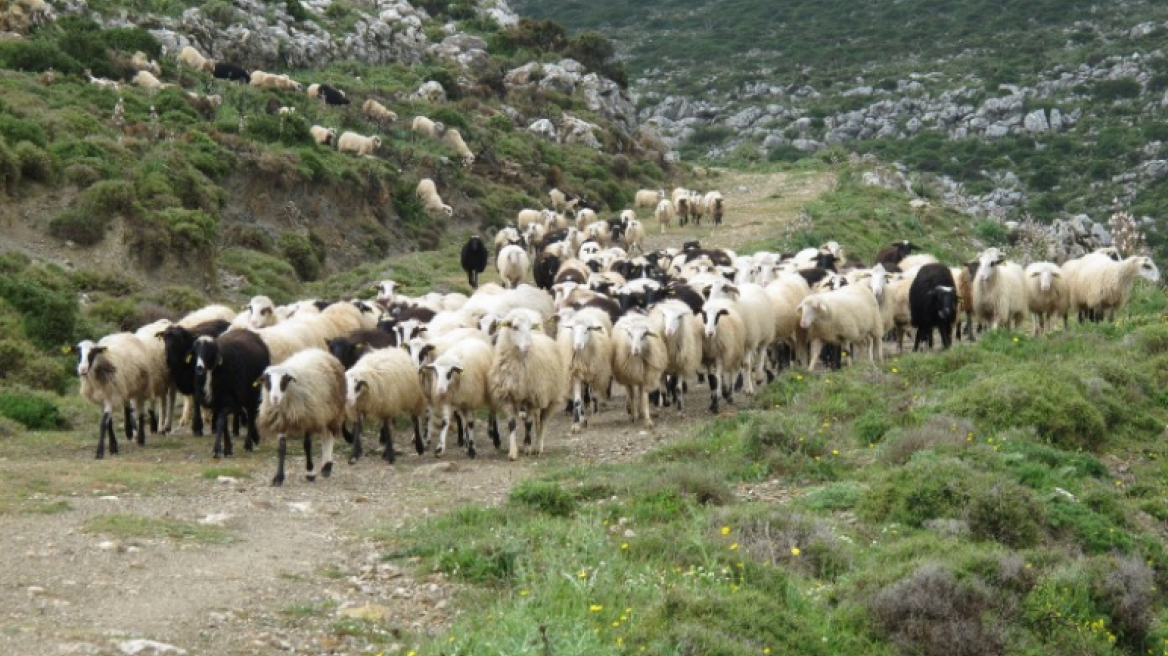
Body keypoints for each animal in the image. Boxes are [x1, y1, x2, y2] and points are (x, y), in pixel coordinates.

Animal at [193, 329, 270, 457]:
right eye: (195, 350)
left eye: (210, 349)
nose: (199, 367)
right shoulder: (218, 401)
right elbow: (223, 423)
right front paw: (227, 448)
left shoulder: (232, 402)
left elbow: (220, 421)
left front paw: (217, 450)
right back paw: (254, 438)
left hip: (252, 392)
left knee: (252, 414)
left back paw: (248, 445)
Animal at [258, 347, 343, 485]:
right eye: (267, 381)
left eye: (284, 380)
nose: (275, 398)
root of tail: (317, 350)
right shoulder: (282, 420)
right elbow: (281, 448)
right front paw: (278, 477)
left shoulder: (308, 417)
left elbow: (307, 445)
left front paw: (310, 473)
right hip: (323, 412)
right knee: (325, 436)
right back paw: (325, 466)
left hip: (333, 410)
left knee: (329, 436)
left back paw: (327, 467)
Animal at [488, 310, 565, 459]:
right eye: (514, 327)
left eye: (530, 327)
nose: (528, 346)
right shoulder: (507, 395)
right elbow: (512, 424)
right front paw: (513, 452)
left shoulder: (532, 397)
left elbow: (529, 423)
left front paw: (528, 447)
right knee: (535, 419)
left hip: (550, 396)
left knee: (543, 420)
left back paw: (538, 446)